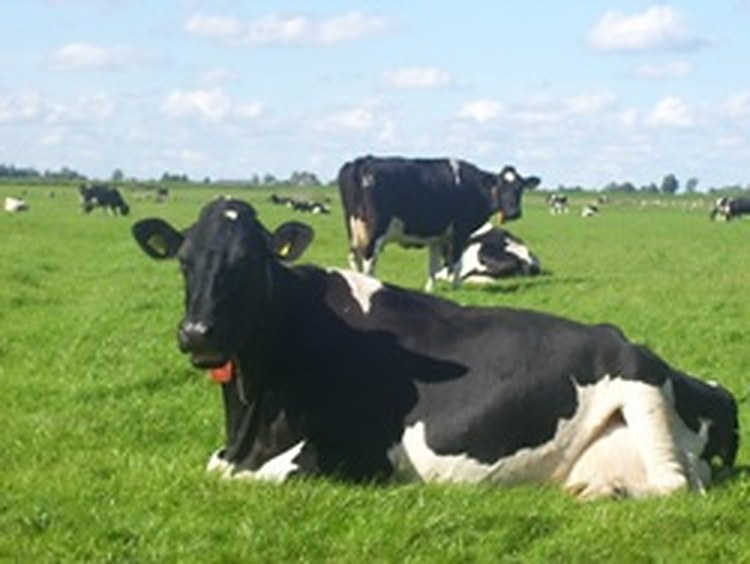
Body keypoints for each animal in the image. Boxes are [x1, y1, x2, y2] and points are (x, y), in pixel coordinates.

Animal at [132, 197, 739, 500]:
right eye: (184, 261)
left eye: (251, 262)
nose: (198, 333)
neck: (249, 420)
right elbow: (217, 468)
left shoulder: (359, 451)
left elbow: (268, 475)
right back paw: (598, 489)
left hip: (638, 377)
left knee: (676, 484)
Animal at [337, 156, 540, 291]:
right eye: (499, 186)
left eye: (520, 188)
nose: (514, 212)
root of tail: (363, 161)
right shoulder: (460, 231)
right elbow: (456, 264)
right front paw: (456, 289)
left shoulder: (437, 238)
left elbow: (433, 266)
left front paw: (430, 289)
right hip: (375, 231)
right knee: (369, 261)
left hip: (353, 229)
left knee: (353, 257)